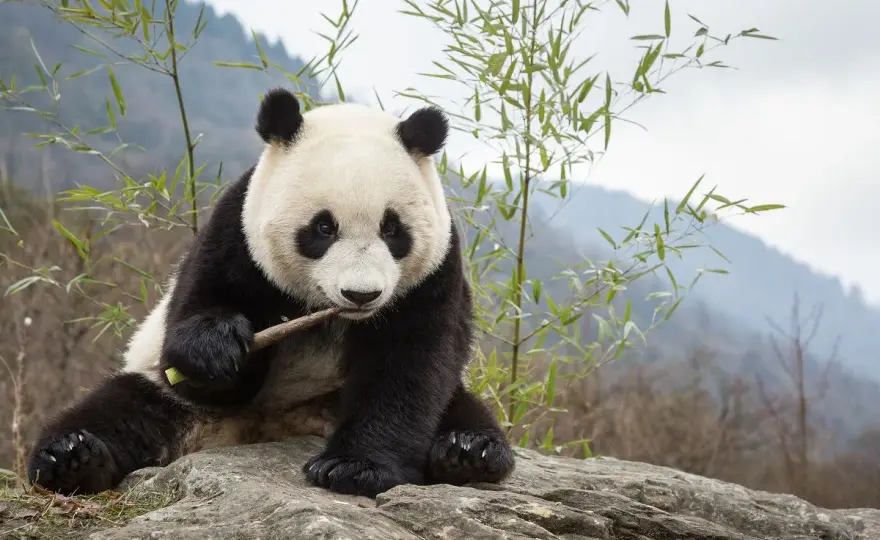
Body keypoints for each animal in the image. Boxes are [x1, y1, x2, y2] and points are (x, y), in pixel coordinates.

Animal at [25, 88, 516, 498]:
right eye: (323, 227)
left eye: (393, 229)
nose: (361, 294)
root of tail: (268, 429)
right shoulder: (235, 234)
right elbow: (198, 330)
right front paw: (218, 348)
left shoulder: (434, 273)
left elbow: (409, 367)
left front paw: (353, 468)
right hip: (167, 398)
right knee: (121, 408)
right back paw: (73, 459)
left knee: (456, 408)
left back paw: (468, 452)